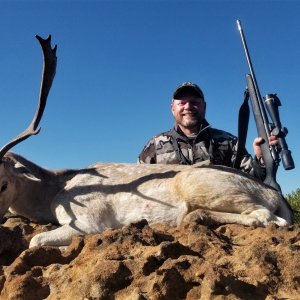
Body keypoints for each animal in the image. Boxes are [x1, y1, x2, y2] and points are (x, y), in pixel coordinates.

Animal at [0, 35, 292, 246]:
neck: (56, 189)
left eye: (3, 184)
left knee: (267, 217)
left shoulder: (89, 222)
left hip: (199, 184)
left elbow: (35, 240)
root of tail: (274, 193)